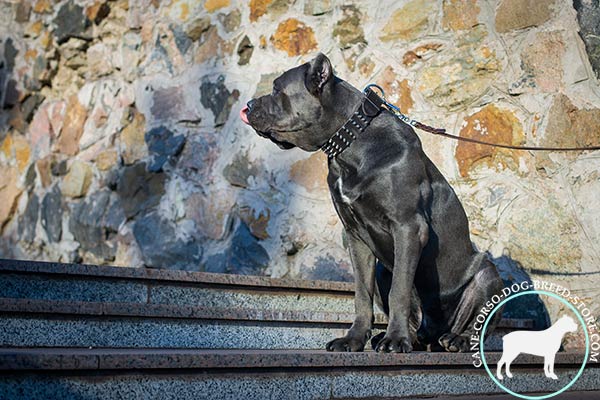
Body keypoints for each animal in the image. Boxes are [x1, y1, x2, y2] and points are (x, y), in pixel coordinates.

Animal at [241, 53, 504, 354]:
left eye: (276, 89)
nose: (249, 105)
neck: (350, 145)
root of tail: (436, 333)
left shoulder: (408, 227)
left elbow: (400, 290)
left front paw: (395, 340)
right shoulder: (356, 237)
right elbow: (361, 294)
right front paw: (353, 339)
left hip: (487, 275)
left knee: (478, 323)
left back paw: (456, 339)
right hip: (382, 270)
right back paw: (404, 337)